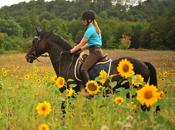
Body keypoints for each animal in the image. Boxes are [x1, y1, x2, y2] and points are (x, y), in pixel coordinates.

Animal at [25, 27, 159, 114]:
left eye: (34, 41)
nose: (27, 57)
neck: (67, 61)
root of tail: (143, 63)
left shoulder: (68, 92)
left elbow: (64, 112)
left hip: (135, 92)